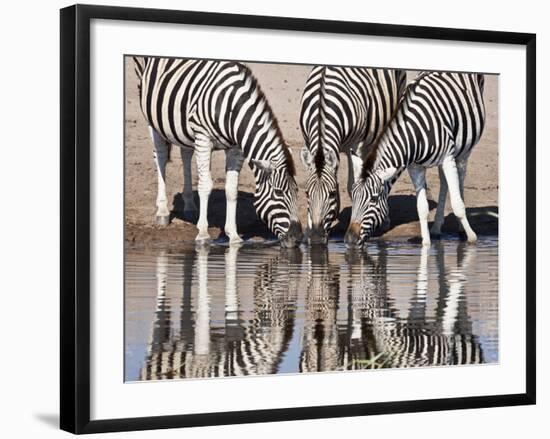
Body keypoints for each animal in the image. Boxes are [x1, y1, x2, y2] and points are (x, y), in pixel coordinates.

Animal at [135, 56, 304, 246]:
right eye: (278, 192)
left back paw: (190, 206)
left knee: (185, 153)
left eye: (297, 191)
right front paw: (203, 234)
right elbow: (205, 185)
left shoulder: (235, 147)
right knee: (161, 155)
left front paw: (234, 236)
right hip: (151, 112)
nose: (298, 238)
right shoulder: (203, 137)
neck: (231, 108)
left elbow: (231, 189)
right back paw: (162, 211)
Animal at [300, 66, 408, 244]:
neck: (323, 105)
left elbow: (353, 186)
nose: (315, 239)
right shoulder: (309, 142)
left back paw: (385, 219)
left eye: (331, 194)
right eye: (307, 193)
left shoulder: (356, 146)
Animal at [348, 73, 490, 249]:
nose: (349, 239)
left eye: (373, 199)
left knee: (461, 177)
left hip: (464, 149)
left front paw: (472, 239)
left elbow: (457, 205)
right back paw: (436, 228)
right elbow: (422, 208)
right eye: (353, 196)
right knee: (444, 181)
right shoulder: (415, 167)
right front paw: (426, 245)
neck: (414, 134)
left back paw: (461, 228)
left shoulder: (447, 157)